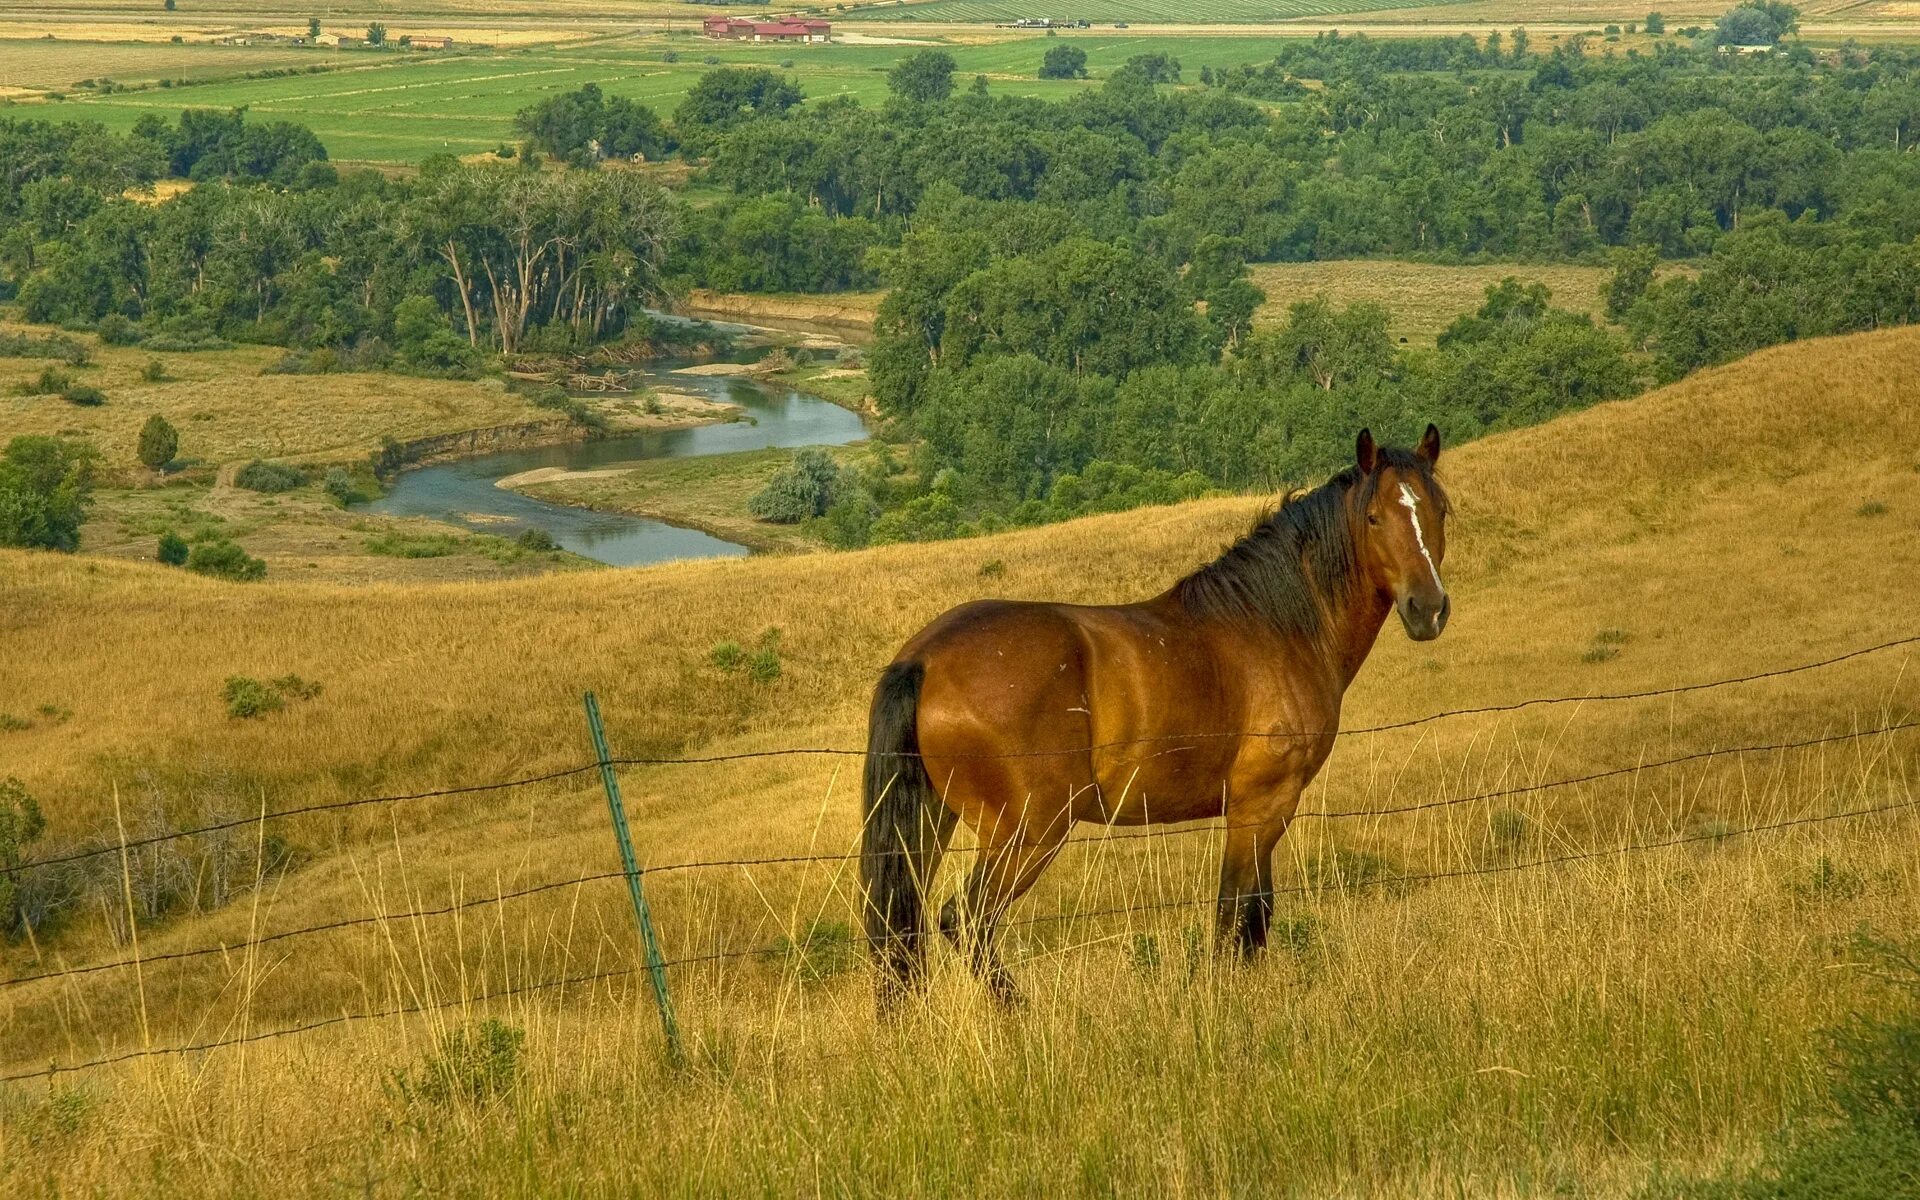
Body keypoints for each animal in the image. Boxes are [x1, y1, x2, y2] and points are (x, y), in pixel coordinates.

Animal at [864, 426, 1443, 1006]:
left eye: (1438, 508)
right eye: (1374, 518)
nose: (1429, 609)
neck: (1275, 626)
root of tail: (925, 658)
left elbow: (1253, 912)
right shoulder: (1263, 805)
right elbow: (1240, 912)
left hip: (934, 823)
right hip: (1028, 833)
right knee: (966, 919)